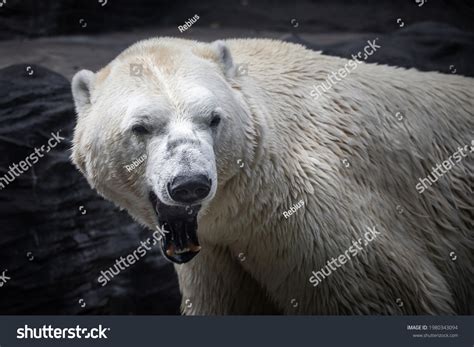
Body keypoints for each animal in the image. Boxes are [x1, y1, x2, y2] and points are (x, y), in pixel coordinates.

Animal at [71, 37, 474, 316]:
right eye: (141, 127)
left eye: (213, 119)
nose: (189, 184)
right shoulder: (217, 254)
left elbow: (389, 294)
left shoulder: (316, 221)